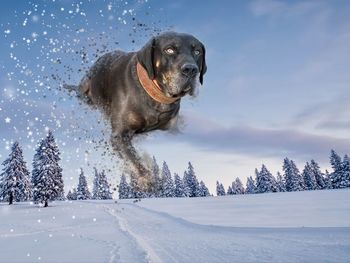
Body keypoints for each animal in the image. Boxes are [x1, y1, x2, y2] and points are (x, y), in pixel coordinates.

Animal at [71, 31, 206, 192]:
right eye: (169, 50)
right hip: (85, 88)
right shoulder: (119, 136)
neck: (155, 96)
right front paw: (149, 182)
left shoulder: (171, 127)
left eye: (197, 52)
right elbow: (134, 160)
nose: (191, 69)